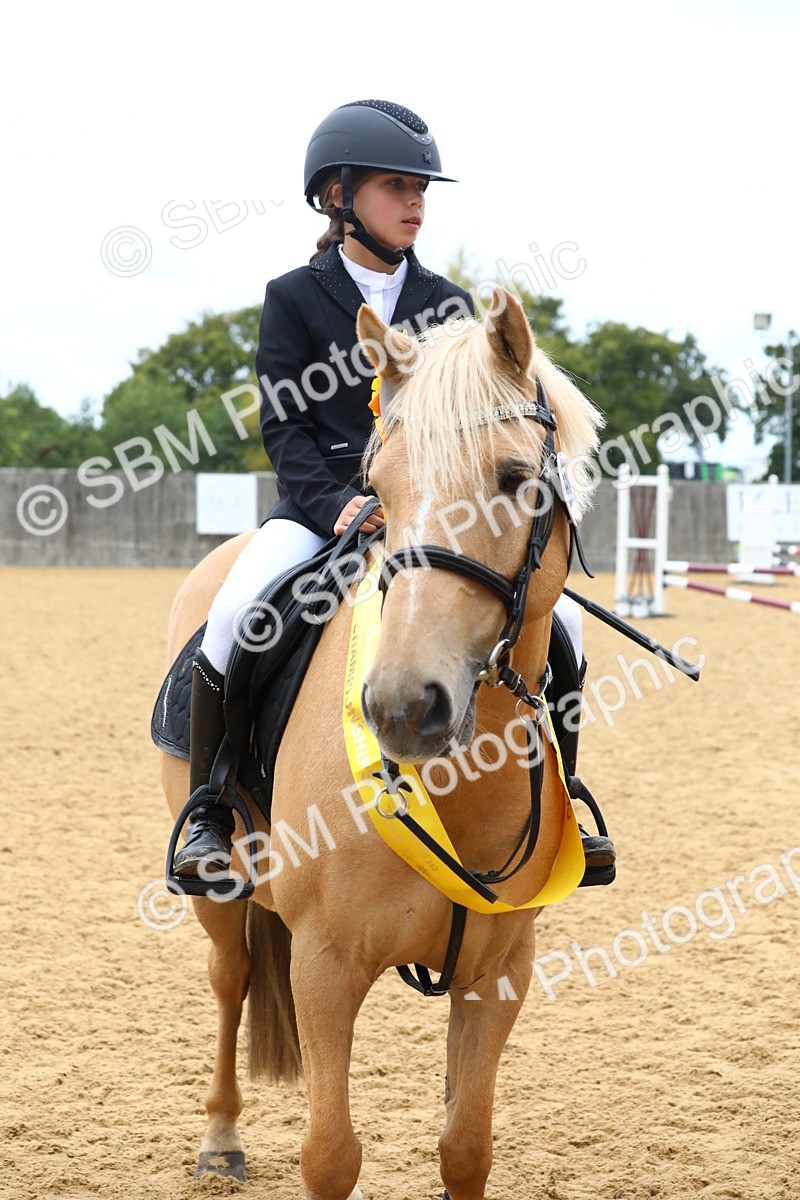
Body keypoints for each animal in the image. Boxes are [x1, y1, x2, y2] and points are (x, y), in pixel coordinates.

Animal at [159, 287, 604, 1200]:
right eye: (377, 489)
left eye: (516, 480)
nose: (403, 705)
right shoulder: (326, 965)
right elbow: (330, 1155)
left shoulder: (501, 970)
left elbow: (465, 1148)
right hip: (218, 889)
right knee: (230, 979)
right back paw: (221, 1138)